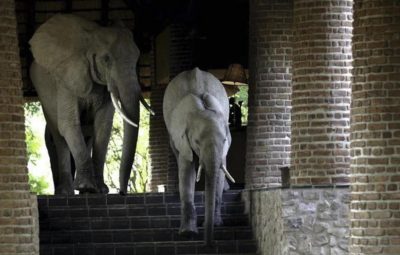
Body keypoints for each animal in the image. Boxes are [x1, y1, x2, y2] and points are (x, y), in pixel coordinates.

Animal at [29, 14, 153, 195]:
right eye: (106, 59)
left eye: (137, 58)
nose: (122, 192)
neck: (91, 37)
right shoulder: (66, 79)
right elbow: (68, 124)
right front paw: (87, 187)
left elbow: (103, 126)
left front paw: (99, 190)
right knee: (59, 135)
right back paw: (66, 192)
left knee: (86, 133)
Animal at [162, 67, 234, 245]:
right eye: (196, 141)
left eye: (224, 140)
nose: (209, 244)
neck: (202, 108)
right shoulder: (182, 138)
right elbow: (186, 171)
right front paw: (188, 233)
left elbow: (220, 173)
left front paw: (216, 224)